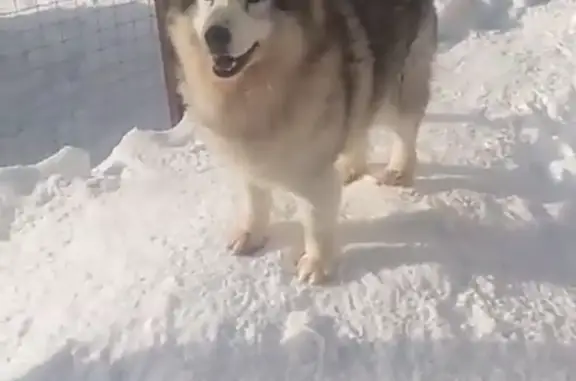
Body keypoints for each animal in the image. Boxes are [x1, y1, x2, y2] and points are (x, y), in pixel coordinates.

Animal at [166, 0, 436, 284]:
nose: (215, 35)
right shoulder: (247, 157)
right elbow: (254, 198)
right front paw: (251, 234)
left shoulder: (314, 172)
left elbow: (316, 221)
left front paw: (316, 265)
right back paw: (351, 167)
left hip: (400, 80)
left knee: (405, 127)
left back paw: (399, 170)